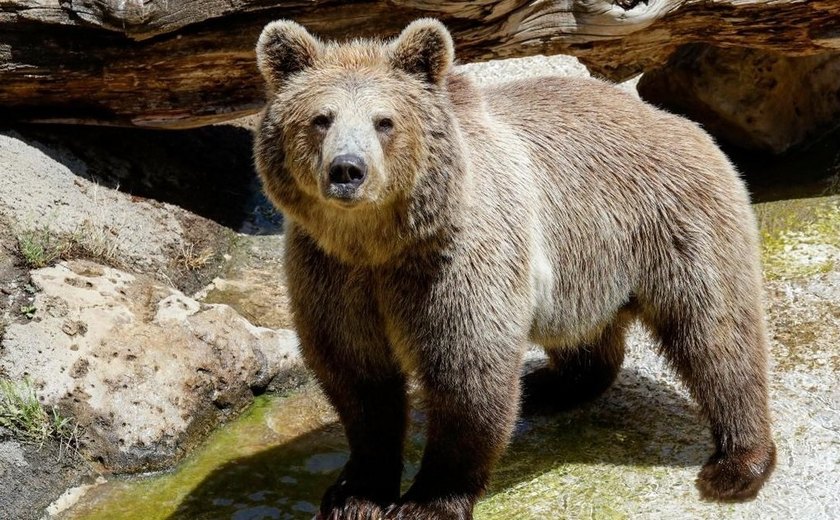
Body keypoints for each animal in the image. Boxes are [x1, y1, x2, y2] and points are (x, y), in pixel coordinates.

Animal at [253, 18, 776, 516]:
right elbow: (357, 378)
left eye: (385, 121)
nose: (347, 169)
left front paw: (426, 503)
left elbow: (468, 376)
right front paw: (355, 494)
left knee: (716, 334)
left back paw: (737, 464)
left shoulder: (453, 264)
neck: (378, 244)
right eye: (321, 118)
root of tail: (677, 122)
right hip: (583, 267)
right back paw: (552, 384)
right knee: (589, 333)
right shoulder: (333, 274)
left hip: (674, 223)